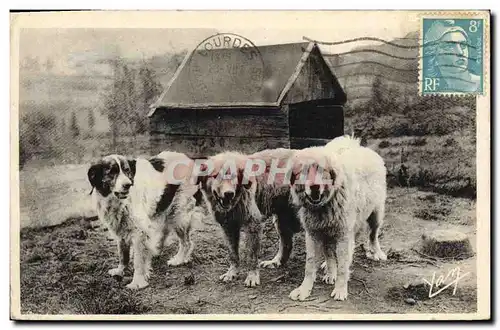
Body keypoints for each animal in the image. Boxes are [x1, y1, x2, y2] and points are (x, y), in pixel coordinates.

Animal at [87, 151, 204, 288]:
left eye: (127, 170)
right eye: (111, 172)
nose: (128, 185)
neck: (118, 201)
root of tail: (190, 160)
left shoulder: (140, 232)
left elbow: (138, 261)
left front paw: (137, 282)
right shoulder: (121, 229)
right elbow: (123, 255)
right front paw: (120, 271)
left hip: (179, 215)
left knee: (186, 242)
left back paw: (179, 259)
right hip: (163, 210)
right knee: (165, 232)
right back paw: (157, 250)